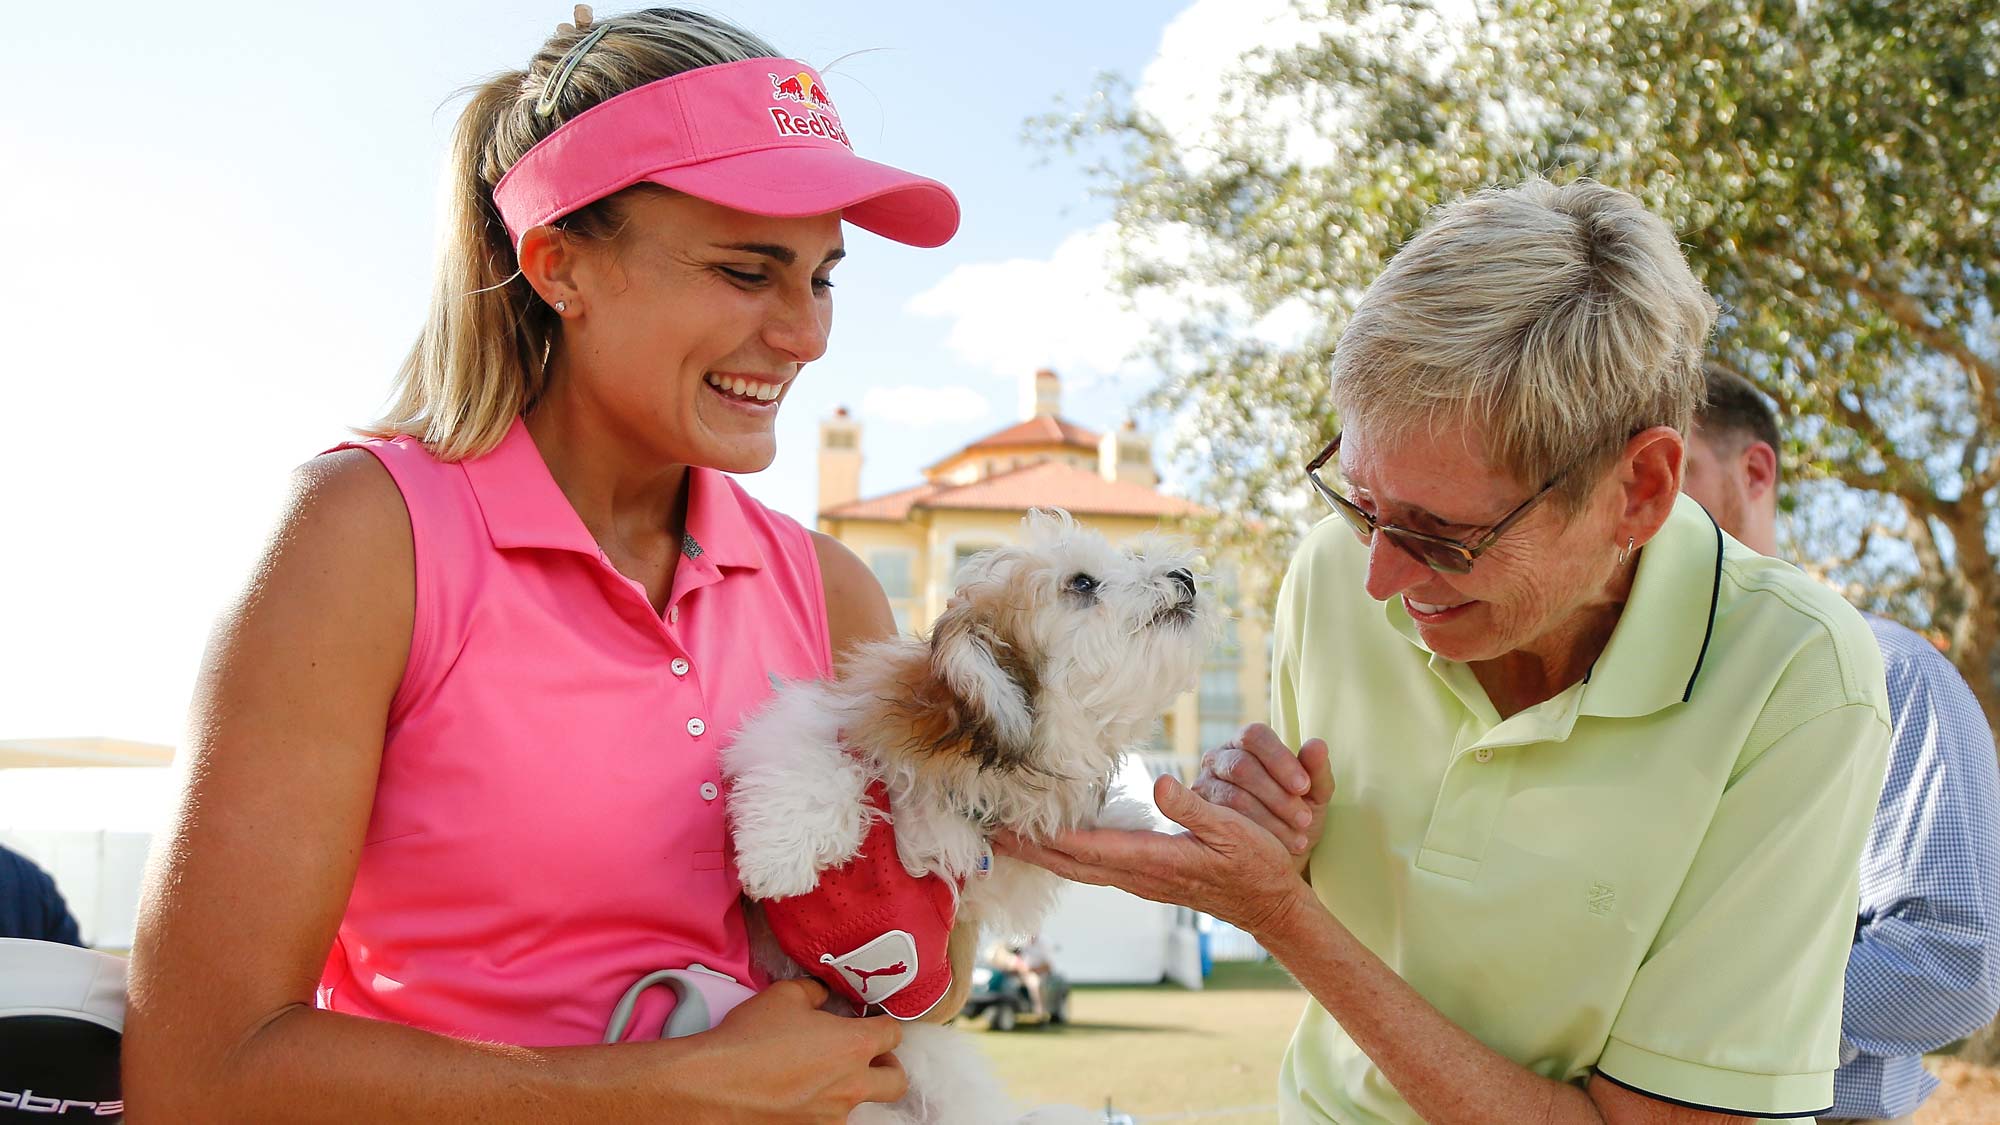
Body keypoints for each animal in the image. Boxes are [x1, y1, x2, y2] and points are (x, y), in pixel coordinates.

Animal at [728, 510, 1208, 1120]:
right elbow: (814, 758)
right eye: (1082, 583)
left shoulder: (985, 869)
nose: (1185, 575)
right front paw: (780, 856)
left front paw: (1129, 817)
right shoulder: (818, 721)